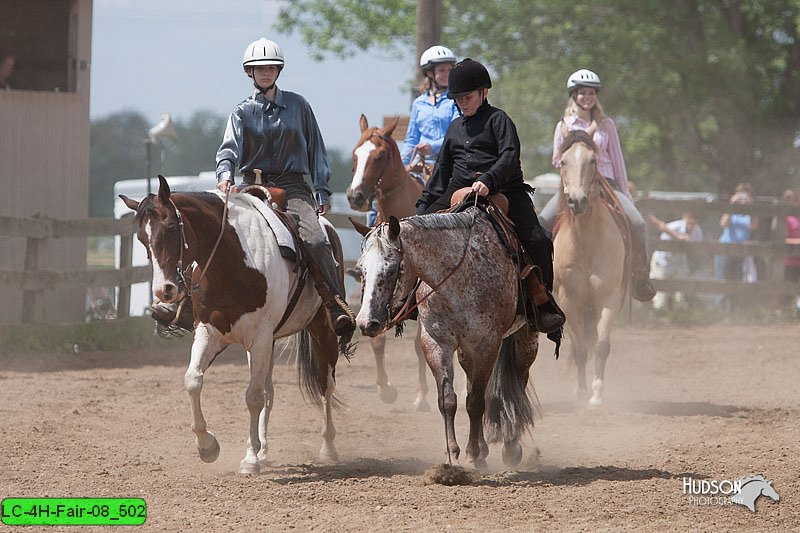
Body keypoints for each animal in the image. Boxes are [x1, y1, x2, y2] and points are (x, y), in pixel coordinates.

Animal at [121, 176, 344, 474]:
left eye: (170, 228)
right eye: (142, 238)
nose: (163, 290)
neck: (233, 263)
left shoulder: (260, 337)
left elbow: (253, 397)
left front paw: (249, 460)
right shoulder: (211, 333)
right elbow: (193, 380)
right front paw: (208, 447)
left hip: (322, 330)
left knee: (325, 385)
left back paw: (328, 447)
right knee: (270, 391)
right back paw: (265, 451)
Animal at [344, 114, 432, 410]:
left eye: (380, 155)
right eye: (355, 154)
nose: (355, 196)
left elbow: (419, 344)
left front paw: (421, 397)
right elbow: (377, 339)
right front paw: (385, 389)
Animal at [354, 210, 540, 468]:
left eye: (391, 269)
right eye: (360, 268)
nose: (365, 322)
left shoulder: (486, 344)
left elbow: (475, 402)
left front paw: (472, 453)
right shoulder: (436, 343)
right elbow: (449, 400)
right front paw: (453, 454)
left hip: (526, 340)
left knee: (517, 382)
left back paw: (510, 447)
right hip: (466, 353)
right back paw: (484, 449)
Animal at [552, 131, 628, 406]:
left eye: (593, 160)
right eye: (563, 161)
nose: (578, 201)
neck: (585, 242)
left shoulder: (609, 298)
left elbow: (602, 345)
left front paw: (596, 394)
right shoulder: (569, 301)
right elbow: (580, 348)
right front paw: (582, 391)